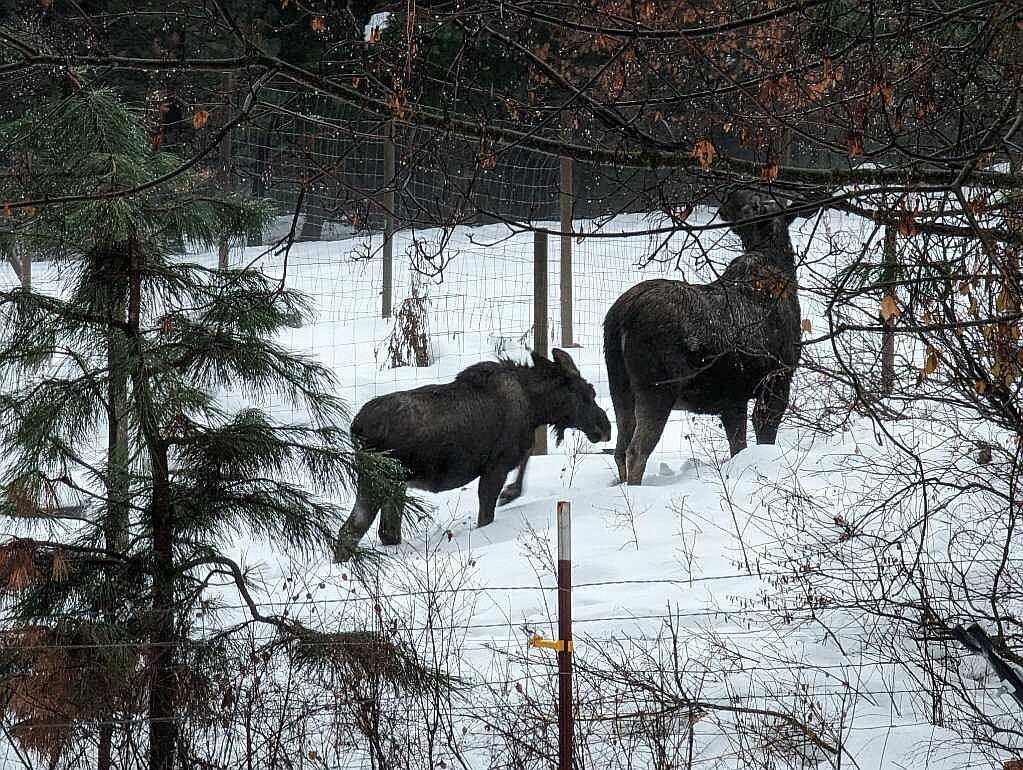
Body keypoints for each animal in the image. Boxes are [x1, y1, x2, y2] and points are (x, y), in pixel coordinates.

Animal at [335, 347, 609, 560]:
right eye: (589, 392)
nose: (605, 427)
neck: (536, 406)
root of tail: (355, 428)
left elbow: (526, 458)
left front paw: (510, 492)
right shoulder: (495, 465)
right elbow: (487, 512)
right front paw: (509, 493)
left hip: (395, 484)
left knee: (386, 532)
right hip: (377, 480)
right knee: (350, 530)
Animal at [601, 189, 810, 482]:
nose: (731, 197)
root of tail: (619, 318)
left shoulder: (733, 399)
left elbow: (739, 446)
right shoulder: (778, 380)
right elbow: (764, 436)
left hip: (620, 390)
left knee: (619, 450)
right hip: (657, 390)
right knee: (636, 452)